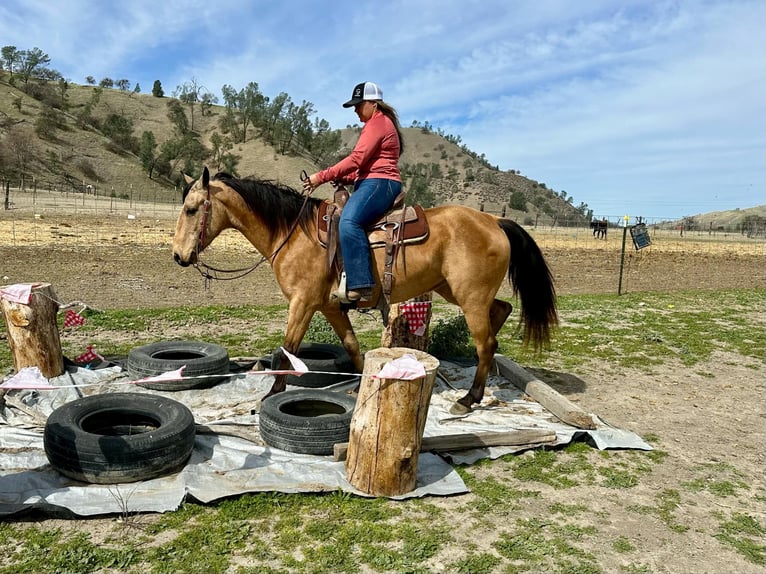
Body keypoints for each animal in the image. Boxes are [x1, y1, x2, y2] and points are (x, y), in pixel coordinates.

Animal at [172, 167, 558, 414]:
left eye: (191, 209)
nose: (178, 256)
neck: (294, 233)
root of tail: (494, 220)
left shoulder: (302, 303)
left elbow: (287, 350)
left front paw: (272, 393)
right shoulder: (329, 307)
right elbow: (352, 347)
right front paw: (360, 384)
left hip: (469, 297)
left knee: (485, 341)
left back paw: (469, 397)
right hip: (454, 290)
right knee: (502, 312)